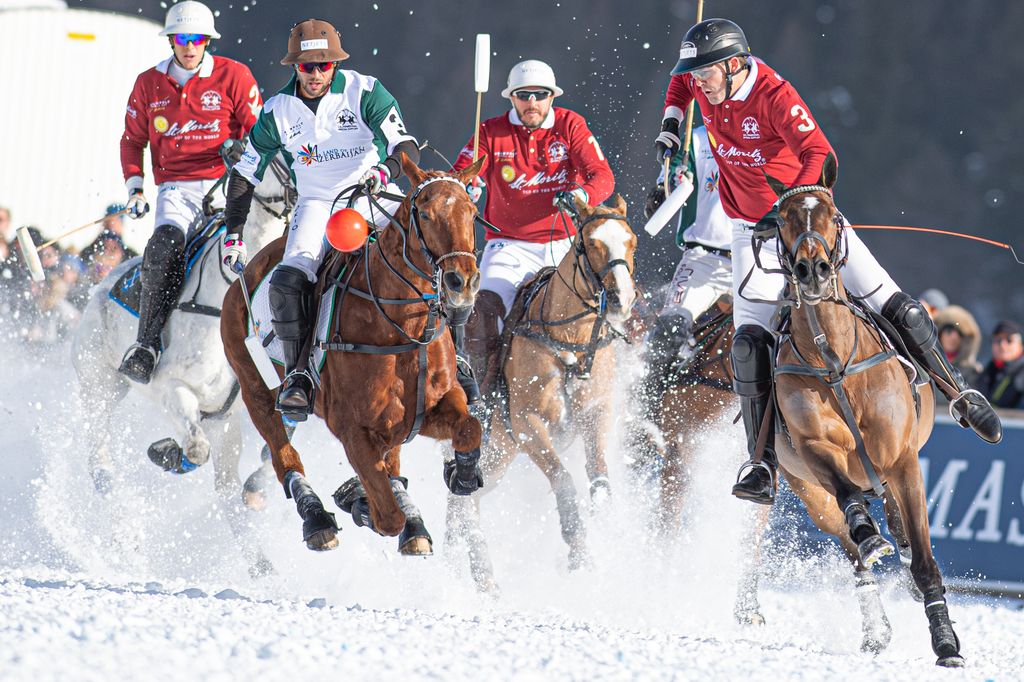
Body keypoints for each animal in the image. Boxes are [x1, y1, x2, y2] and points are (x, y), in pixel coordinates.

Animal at [72, 160, 292, 509]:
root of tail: (104, 284)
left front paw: (257, 486)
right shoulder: (171, 385)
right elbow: (197, 449)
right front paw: (168, 453)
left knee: (227, 484)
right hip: (99, 380)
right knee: (98, 441)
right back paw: (112, 491)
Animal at [219, 153, 487, 552]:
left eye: (471, 211)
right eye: (424, 214)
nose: (462, 282)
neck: (402, 328)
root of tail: (250, 267)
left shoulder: (432, 405)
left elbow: (469, 428)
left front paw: (462, 474)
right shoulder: (351, 428)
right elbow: (386, 517)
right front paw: (358, 500)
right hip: (254, 388)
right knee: (284, 455)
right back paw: (317, 517)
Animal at [446, 193, 634, 585]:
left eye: (632, 242)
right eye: (589, 244)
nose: (622, 299)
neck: (569, 341)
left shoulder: (597, 413)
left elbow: (599, 473)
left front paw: (607, 527)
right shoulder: (528, 425)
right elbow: (563, 479)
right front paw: (580, 553)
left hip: (498, 456)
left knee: (462, 502)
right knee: (463, 503)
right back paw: (477, 572)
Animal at [770, 155, 958, 663]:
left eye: (833, 215)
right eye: (782, 219)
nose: (811, 270)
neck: (834, 360)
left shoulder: (904, 460)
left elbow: (926, 561)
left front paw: (946, 643)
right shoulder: (814, 449)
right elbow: (850, 503)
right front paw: (868, 532)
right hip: (805, 490)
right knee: (855, 557)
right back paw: (875, 625)